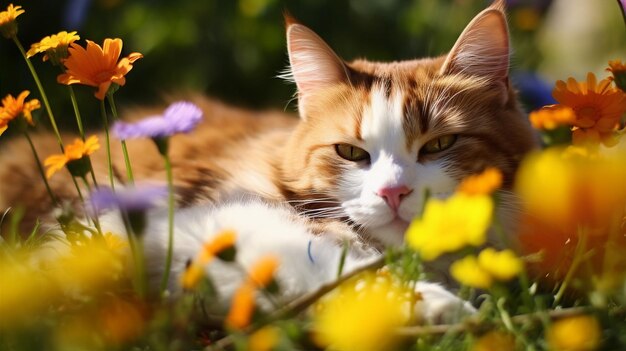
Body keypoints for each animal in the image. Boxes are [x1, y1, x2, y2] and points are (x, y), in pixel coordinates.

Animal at [0, 0, 536, 324]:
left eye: (439, 145)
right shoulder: (196, 218)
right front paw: (427, 304)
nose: (393, 193)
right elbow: (326, 262)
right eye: (351, 152)